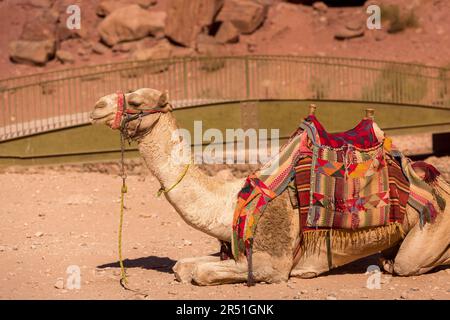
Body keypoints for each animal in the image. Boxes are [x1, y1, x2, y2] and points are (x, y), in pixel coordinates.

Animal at [91, 87, 450, 284]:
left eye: (137, 102)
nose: (96, 106)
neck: (231, 202)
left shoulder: (272, 261)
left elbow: (201, 273)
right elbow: (183, 266)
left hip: (430, 229)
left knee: (408, 263)